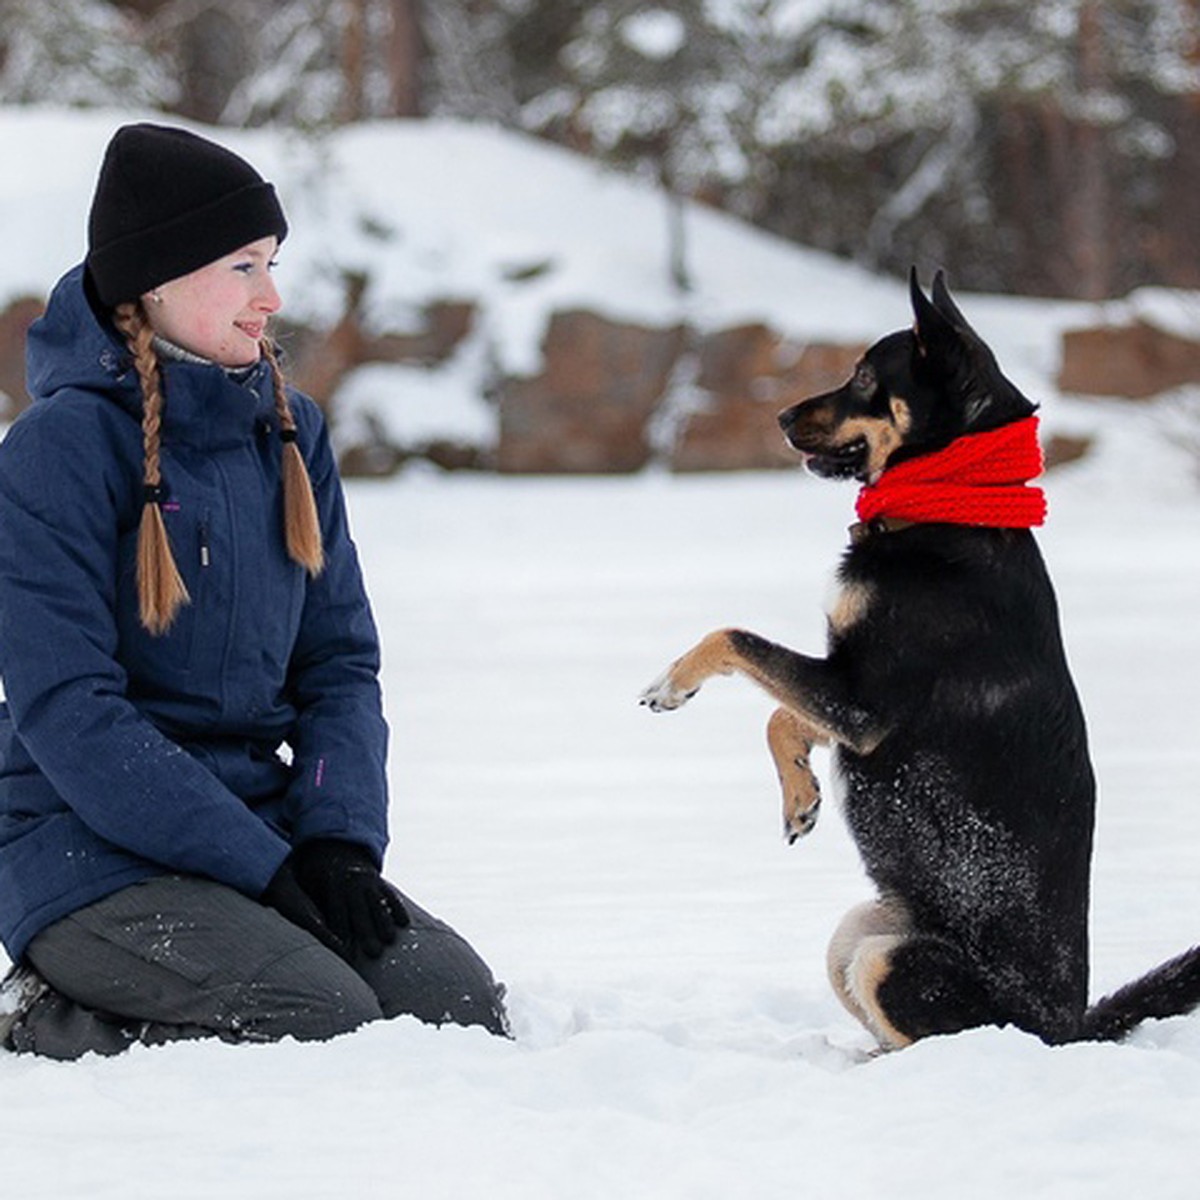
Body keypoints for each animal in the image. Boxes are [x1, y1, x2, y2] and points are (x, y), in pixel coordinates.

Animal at [643, 272, 1200, 1051]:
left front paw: (672, 682)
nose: (779, 416)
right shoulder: (847, 695)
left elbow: (734, 638)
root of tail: (1068, 1028)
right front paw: (801, 797)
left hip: (889, 956)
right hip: (856, 934)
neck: (950, 505)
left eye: (864, 378)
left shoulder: (862, 704)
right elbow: (782, 716)